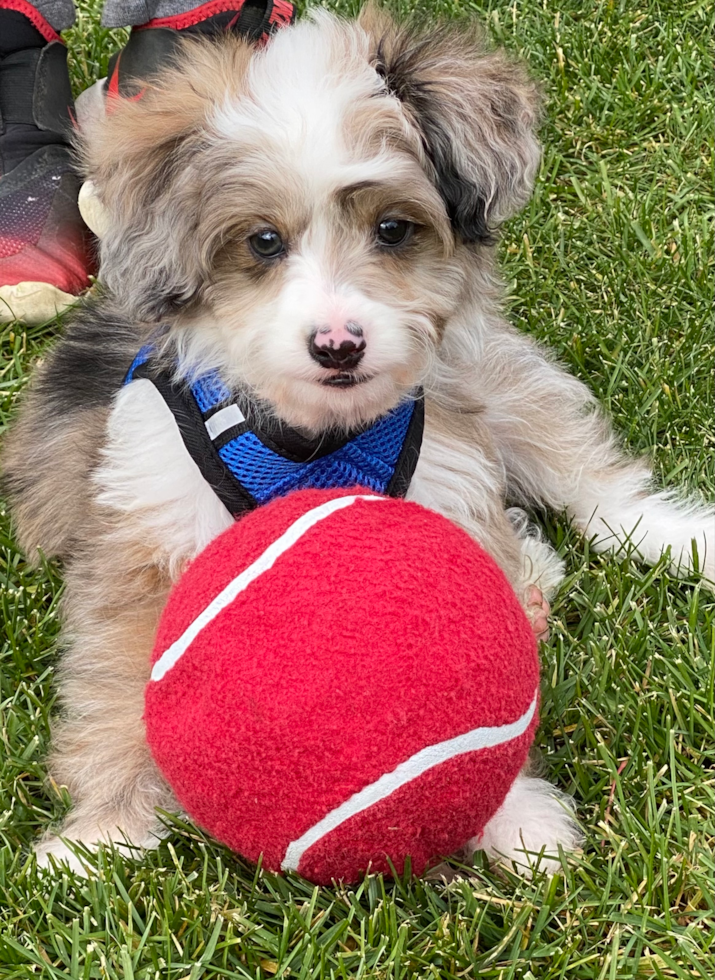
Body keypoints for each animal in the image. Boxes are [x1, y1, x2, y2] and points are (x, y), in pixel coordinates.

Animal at [4, 3, 712, 876]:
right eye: (262, 242)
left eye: (394, 229)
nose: (338, 346)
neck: (313, 438)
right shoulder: (141, 530)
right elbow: (112, 680)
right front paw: (102, 834)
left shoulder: (444, 475)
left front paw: (514, 815)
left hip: (494, 386)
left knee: (599, 492)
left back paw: (675, 541)